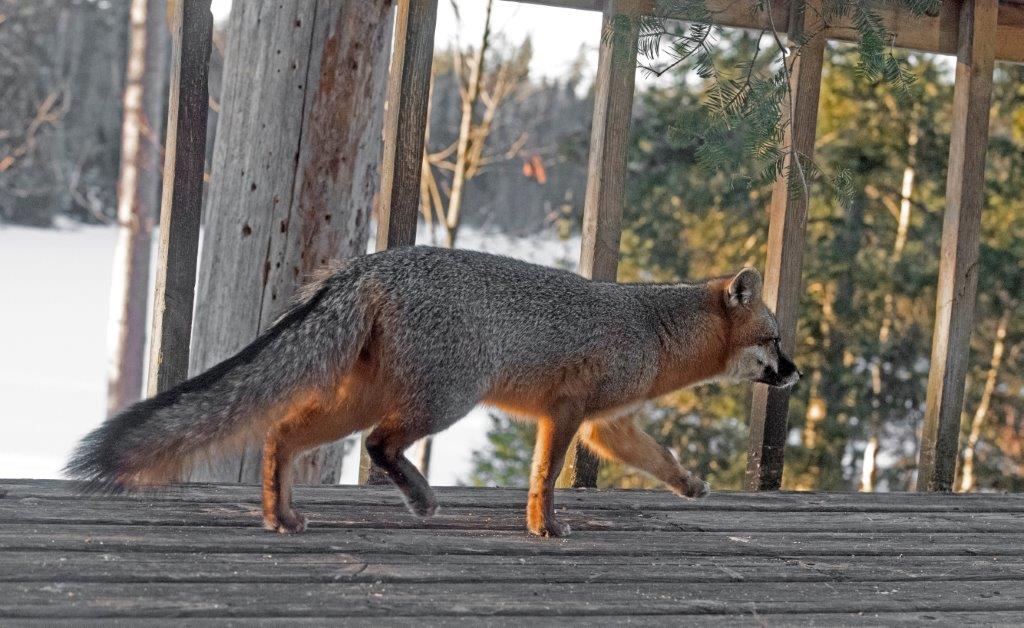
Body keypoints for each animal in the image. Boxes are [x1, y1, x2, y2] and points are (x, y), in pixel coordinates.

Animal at [67, 246, 800, 537]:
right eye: (774, 340)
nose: (796, 373)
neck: (650, 326)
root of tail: (371, 262)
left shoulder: (604, 423)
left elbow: (657, 458)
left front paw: (691, 485)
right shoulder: (566, 414)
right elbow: (546, 476)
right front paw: (544, 526)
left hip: (369, 397)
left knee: (282, 431)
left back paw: (283, 514)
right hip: (445, 400)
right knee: (377, 445)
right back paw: (418, 498)